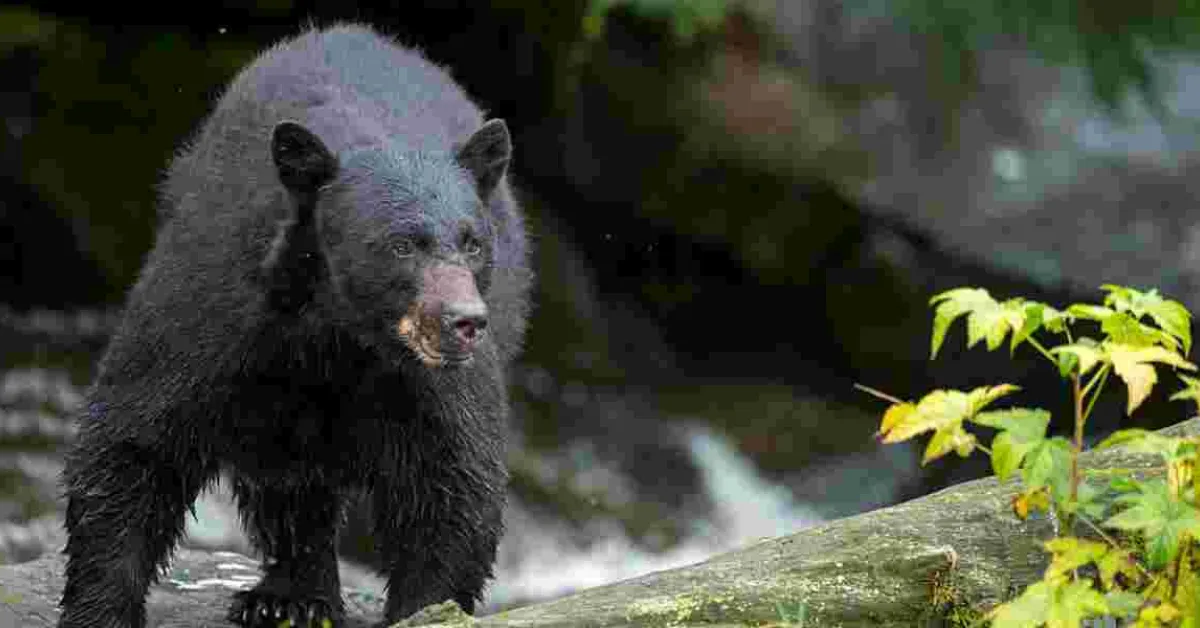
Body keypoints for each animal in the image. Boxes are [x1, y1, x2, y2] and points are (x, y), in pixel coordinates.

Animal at [56, 23, 532, 628]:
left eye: (473, 242)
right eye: (401, 245)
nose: (464, 322)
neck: (337, 333)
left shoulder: (432, 382)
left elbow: (453, 479)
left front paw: (425, 608)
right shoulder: (215, 310)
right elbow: (135, 439)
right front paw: (100, 609)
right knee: (288, 483)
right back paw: (291, 595)